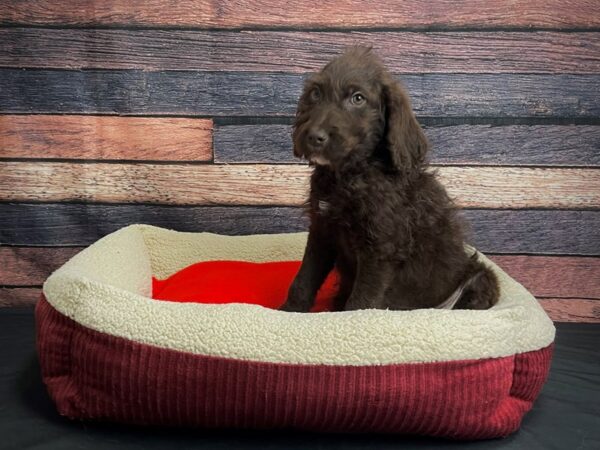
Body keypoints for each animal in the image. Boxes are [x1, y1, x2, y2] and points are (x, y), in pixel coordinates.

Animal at [278, 46, 500, 312]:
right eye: (315, 94)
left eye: (358, 98)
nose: (313, 137)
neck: (350, 175)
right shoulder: (322, 230)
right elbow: (303, 280)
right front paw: (287, 313)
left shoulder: (380, 247)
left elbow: (361, 302)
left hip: (480, 278)